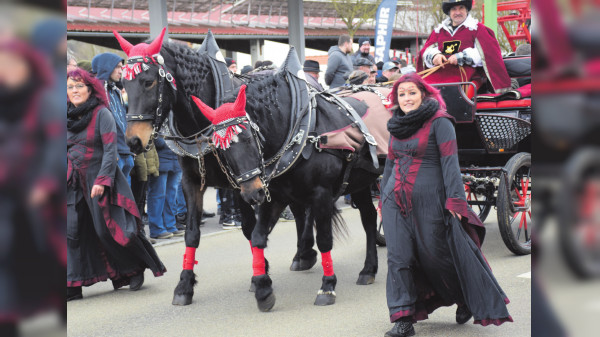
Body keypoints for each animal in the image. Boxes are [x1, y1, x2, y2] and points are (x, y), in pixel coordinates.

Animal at [192, 50, 384, 310]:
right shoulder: (274, 195)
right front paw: (263, 288)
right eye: (221, 150)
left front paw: (327, 287)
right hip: (360, 181)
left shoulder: (322, 194)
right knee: (369, 217)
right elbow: (258, 237)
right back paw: (368, 269)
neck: (303, 130)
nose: (250, 194)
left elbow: (324, 239)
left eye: (248, 138)